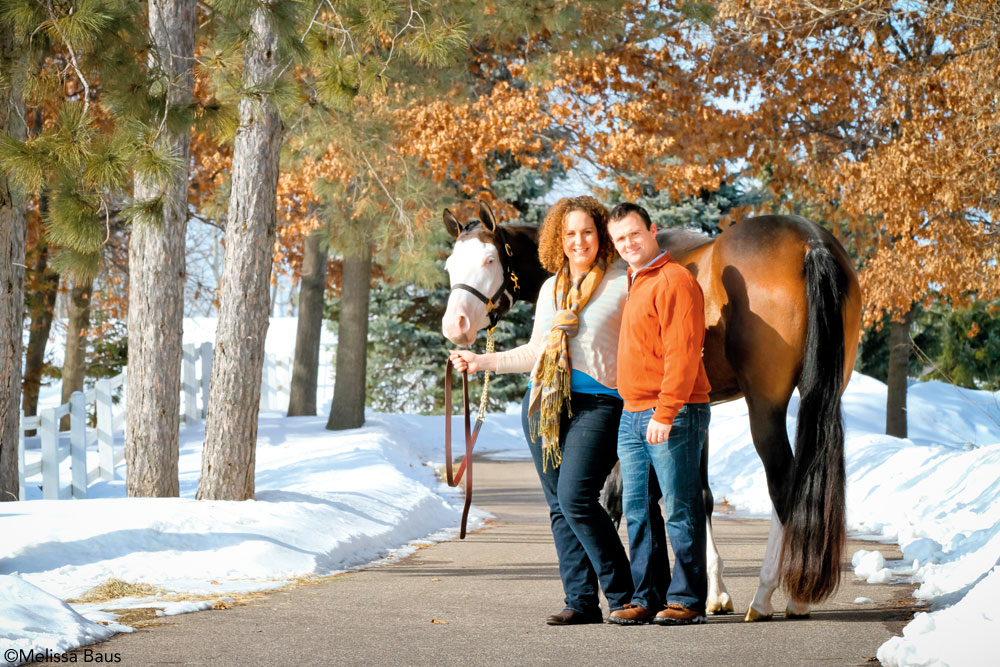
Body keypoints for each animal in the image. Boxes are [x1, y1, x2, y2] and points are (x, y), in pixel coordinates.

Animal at [442, 201, 864, 624]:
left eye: (490, 259)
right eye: (449, 265)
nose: (455, 325)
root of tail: (809, 242)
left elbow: (616, 500)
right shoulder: (696, 411)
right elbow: (699, 496)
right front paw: (714, 593)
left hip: (766, 404)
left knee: (783, 485)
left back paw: (765, 595)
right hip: (822, 392)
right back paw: (797, 597)